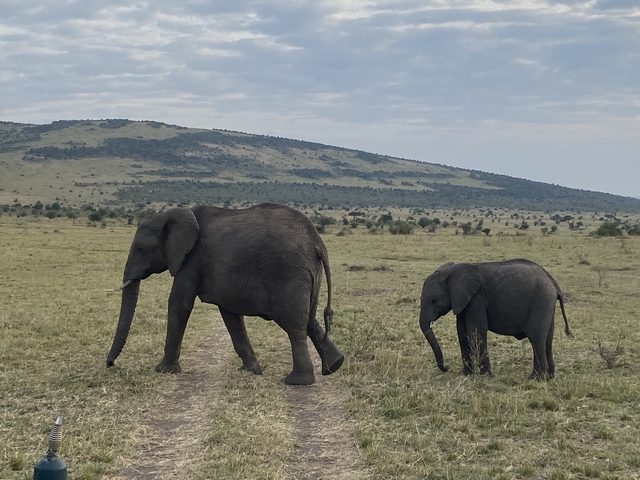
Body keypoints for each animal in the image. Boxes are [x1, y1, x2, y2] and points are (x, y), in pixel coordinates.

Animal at [106, 203, 344, 385]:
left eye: (140, 249)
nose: (110, 364)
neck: (177, 215)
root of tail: (317, 243)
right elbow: (230, 315)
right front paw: (251, 370)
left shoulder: (191, 259)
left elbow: (179, 304)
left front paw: (164, 370)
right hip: (307, 272)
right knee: (310, 319)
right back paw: (334, 365)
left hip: (288, 271)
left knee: (294, 325)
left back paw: (297, 382)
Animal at [419, 259, 573, 380]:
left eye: (433, 301)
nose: (447, 368)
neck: (450, 272)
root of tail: (554, 284)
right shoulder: (463, 300)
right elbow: (462, 332)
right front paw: (464, 374)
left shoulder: (476, 299)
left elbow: (476, 331)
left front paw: (484, 376)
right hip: (547, 305)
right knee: (548, 340)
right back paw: (550, 377)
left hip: (541, 301)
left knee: (536, 338)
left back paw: (536, 379)